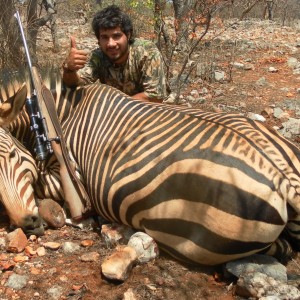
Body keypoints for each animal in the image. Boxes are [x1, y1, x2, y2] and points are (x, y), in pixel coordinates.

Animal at [0, 69, 300, 264]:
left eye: (13, 155)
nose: (27, 224)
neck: (65, 115)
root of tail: (280, 176)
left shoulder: (65, 177)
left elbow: (43, 186)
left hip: (191, 239)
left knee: (281, 250)